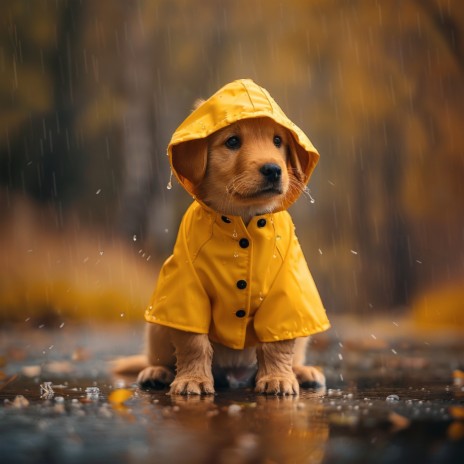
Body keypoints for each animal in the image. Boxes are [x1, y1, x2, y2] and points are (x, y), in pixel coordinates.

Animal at [113, 79, 330, 396]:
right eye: (232, 142)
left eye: (278, 141)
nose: (273, 169)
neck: (243, 222)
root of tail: (234, 374)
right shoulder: (186, 289)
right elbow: (193, 343)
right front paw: (192, 380)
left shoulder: (288, 291)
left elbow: (277, 344)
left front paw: (278, 378)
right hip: (157, 323)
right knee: (158, 356)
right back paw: (157, 372)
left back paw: (302, 372)